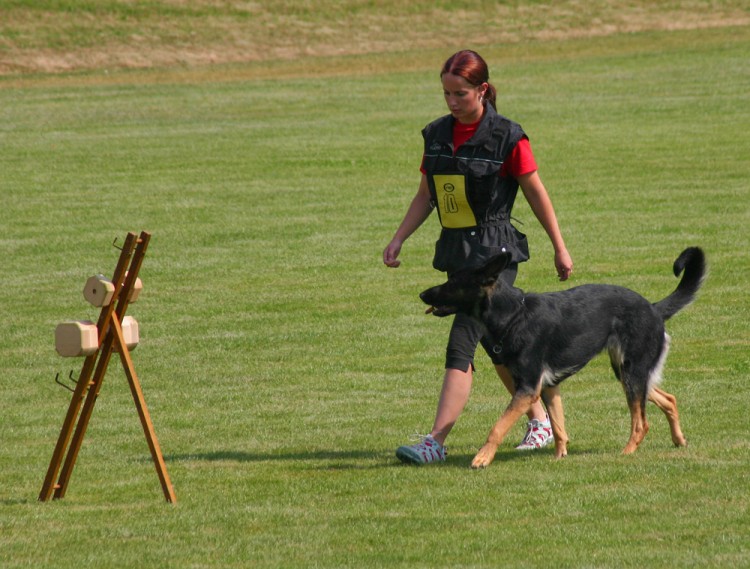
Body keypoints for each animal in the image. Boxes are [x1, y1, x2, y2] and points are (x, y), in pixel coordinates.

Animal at [420, 246, 708, 468]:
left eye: (452, 283)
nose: (422, 294)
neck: (514, 315)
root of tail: (654, 308)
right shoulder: (548, 387)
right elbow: (559, 427)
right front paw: (560, 457)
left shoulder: (528, 389)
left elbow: (498, 427)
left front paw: (482, 458)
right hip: (628, 372)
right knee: (669, 399)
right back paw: (679, 440)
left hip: (632, 373)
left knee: (641, 424)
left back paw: (626, 453)